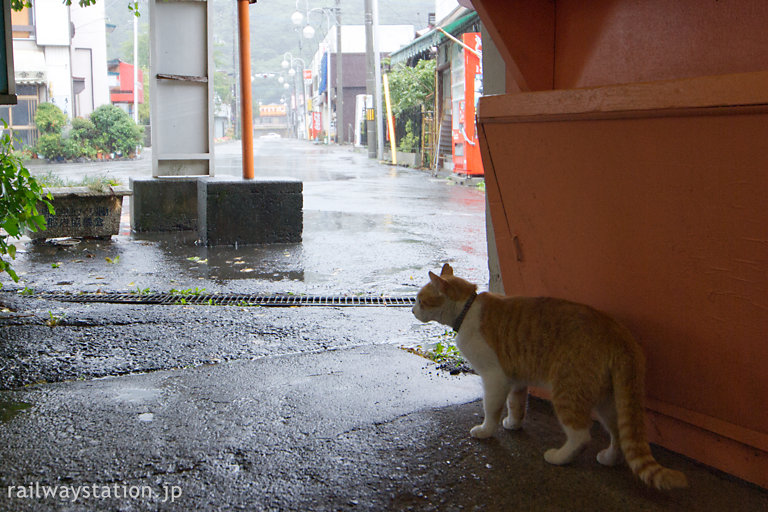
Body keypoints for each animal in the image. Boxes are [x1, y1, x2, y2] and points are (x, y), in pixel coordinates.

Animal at [414, 266, 688, 490]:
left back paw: (558, 457)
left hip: (567, 392)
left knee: (581, 436)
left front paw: (485, 430)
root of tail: (619, 332)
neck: (468, 309)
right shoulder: (517, 378)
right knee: (619, 434)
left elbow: (491, 409)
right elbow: (516, 405)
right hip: (609, 402)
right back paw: (609, 458)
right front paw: (513, 423)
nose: (412, 309)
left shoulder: (494, 378)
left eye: (419, 299)